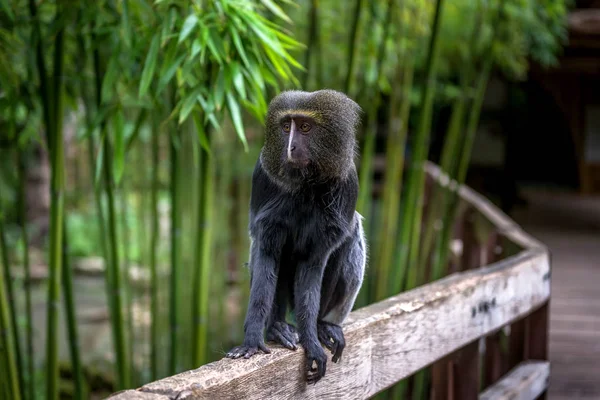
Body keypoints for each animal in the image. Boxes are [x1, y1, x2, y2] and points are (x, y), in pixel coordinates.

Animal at [225, 89, 366, 382]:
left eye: (304, 127)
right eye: (285, 127)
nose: (289, 148)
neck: (306, 184)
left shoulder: (349, 183)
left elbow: (313, 266)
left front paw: (311, 340)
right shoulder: (262, 176)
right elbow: (266, 253)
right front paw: (252, 340)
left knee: (352, 233)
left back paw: (323, 325)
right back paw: (277, 327)